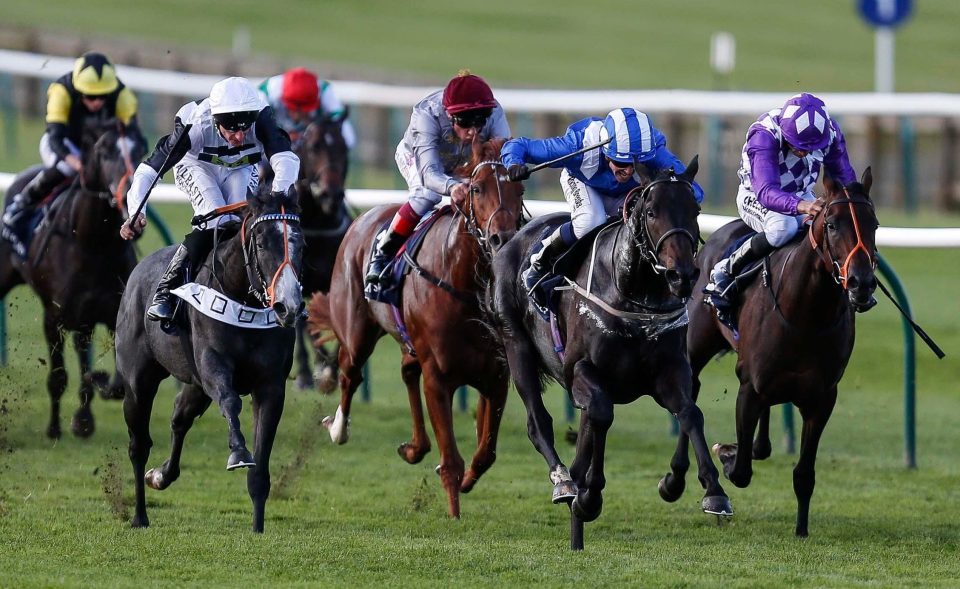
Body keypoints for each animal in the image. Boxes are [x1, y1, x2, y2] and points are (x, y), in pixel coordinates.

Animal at [0, 124, 144, 436]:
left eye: (140, 148)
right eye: (103, 152)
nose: (130, 191)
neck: (93, 245)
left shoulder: (112, 313)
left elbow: (116, 384)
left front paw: (87, 408)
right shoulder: (53, 318)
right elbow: (58, 377)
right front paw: (54, 429)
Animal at [116, 186, 304, 532]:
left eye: (302, 244)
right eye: (261, 243)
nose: (288, 306)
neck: (242, 298)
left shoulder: (271, 386)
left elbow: (260, 470)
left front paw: (258, 528)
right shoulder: (213, 366)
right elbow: (230, 401)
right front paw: (238, 452)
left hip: (194, 385)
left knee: (180, 418)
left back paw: (160, 476)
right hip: (138, 382)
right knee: (139, 445)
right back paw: (139, 516)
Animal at [310, 137, 524, 516]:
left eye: (521, 188)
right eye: (477, 188)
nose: (503, 238)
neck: (463, 282)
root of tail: (363, 218)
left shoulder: (496, 376)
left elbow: (486, 452)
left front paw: (466, 482)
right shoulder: (438, 377)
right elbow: (451, 459)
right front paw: (454, 513)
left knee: (407, 372)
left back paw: (414, 447)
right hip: (356, 332)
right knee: (350, 374)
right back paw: (338, 428)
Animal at [492, 158, 732, 548]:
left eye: (695, 209)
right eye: (651, 211)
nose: (682, 274)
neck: (633, 295)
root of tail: (512, 238)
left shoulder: (670, 371)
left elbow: (690, 413)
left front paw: (709, 490)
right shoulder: (580, 371)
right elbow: (603, 415)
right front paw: (589, 498)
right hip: (517, 346)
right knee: (537, 421)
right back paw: (564, 483)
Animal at [668, 168, 876, 536]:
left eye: (874, 224)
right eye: (832, 224)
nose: (861, 283)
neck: (806, 313)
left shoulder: (822, 397)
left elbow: (804, 474)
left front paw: (801, 530)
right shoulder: (750, 388)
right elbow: (741, 471)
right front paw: (726, 454)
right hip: (697, 344)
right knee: (689, 393)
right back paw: (677, 479)